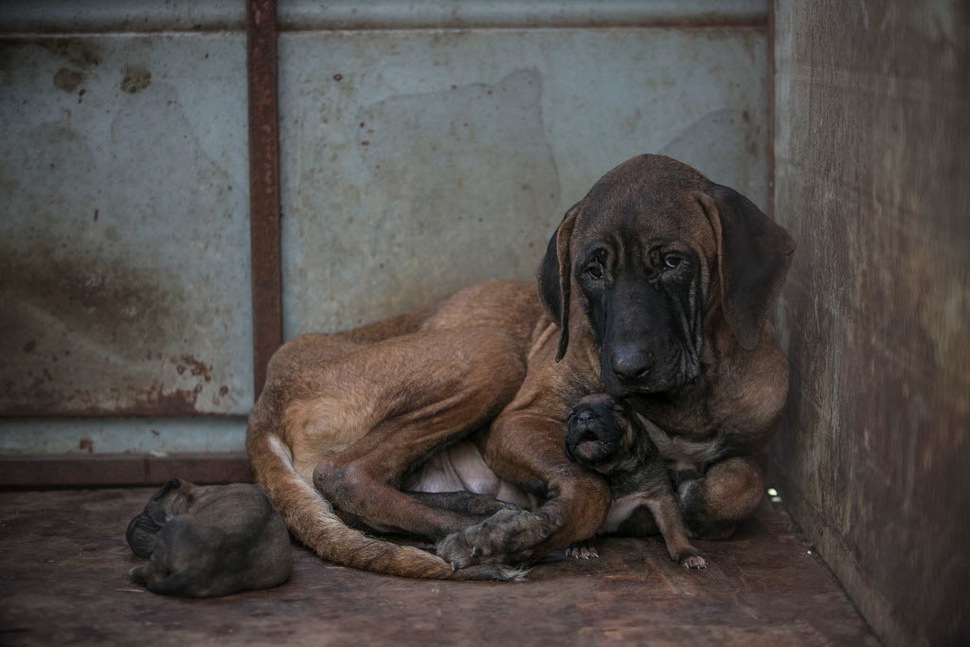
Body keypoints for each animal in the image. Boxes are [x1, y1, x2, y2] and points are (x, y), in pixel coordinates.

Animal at [125, 478, 292, 600]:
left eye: (147, 511)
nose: (129, 528)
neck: (192, 495)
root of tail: (199, 568)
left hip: (177, 524)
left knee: (152, 572)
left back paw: (135, 572)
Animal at [560, 392, 704, 568]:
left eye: (615, 410)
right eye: (571, 416)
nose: (584, 416)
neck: (613, 470)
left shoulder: (661, 497)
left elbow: (673, 528)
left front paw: (686, 552)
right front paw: (583, 544)